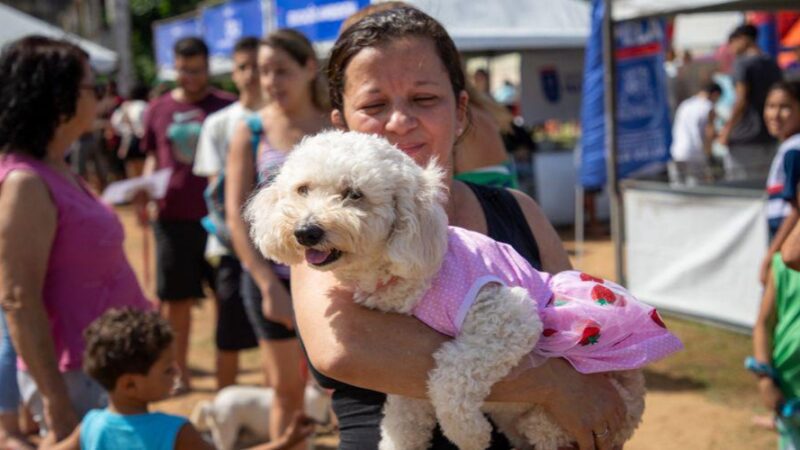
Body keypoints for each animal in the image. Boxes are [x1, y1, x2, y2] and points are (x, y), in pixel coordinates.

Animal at [247, 131, 648, 450]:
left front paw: (469, 434)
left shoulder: (509, 316)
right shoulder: (403, 384)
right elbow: (403, 421)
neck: (409, 276)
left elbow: (451, 375)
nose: (306, 231)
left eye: (354, 195)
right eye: (302, 190)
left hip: (553, 420)